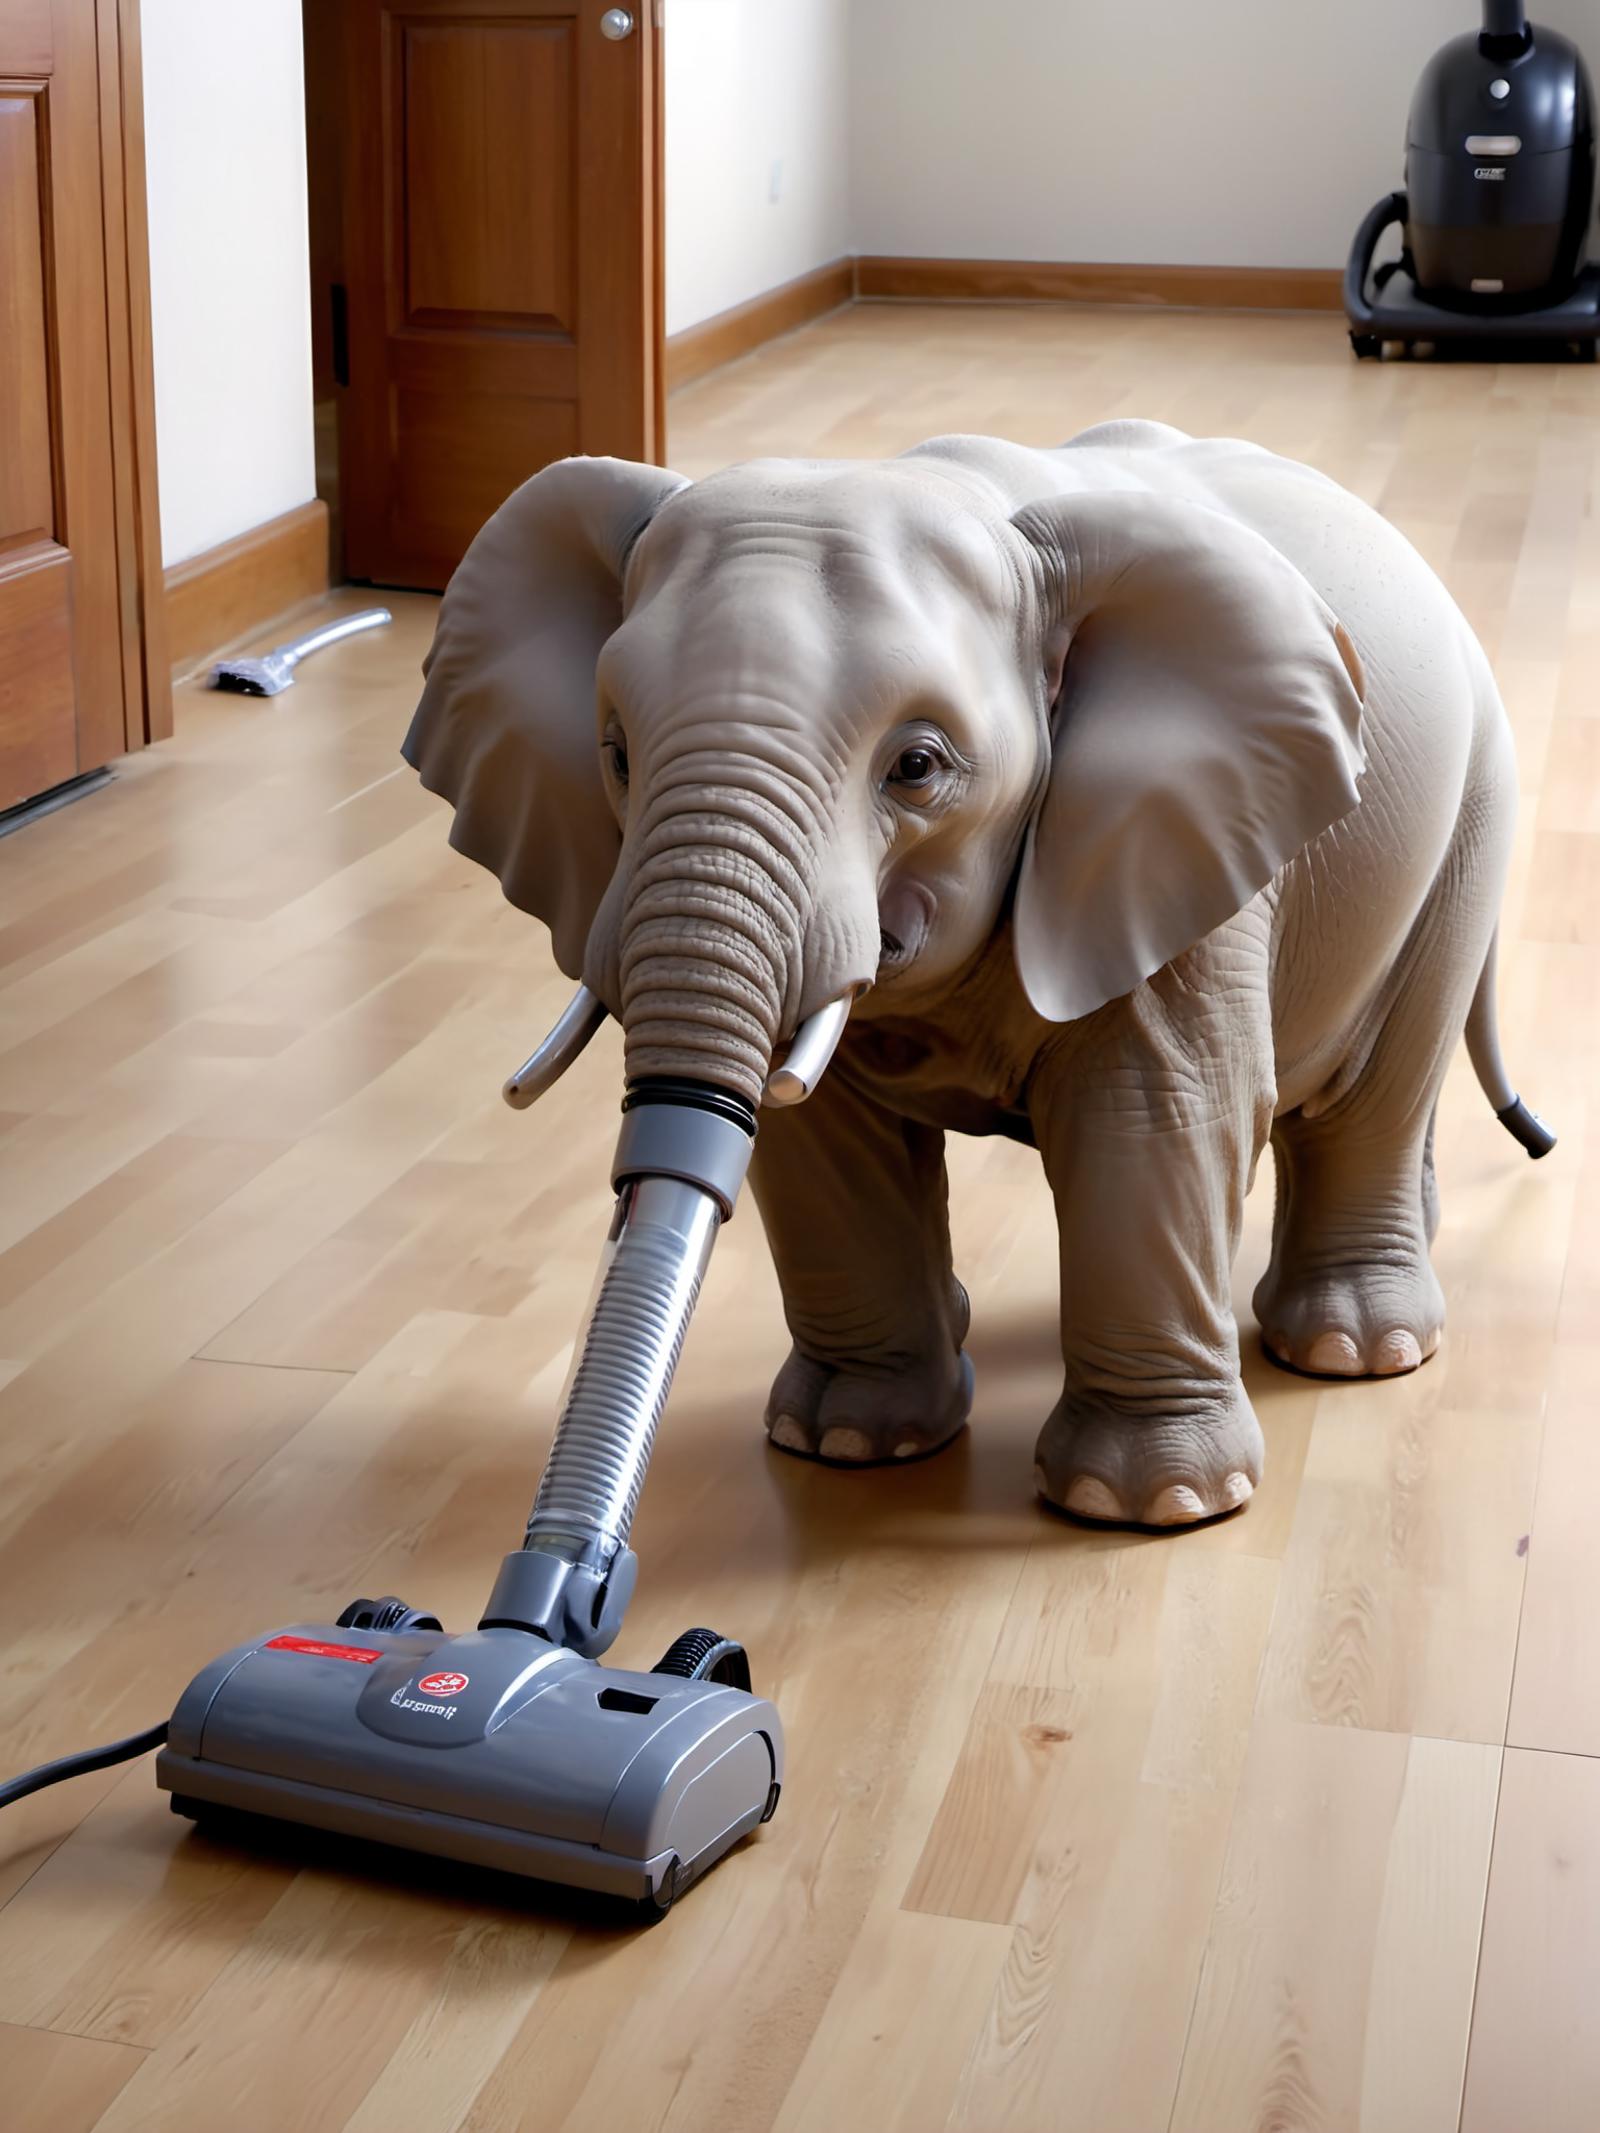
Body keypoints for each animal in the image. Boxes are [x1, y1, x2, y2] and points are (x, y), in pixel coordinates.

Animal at [403, 415, 1553, 1527]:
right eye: (616, 755)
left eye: (916, 768)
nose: (572, 1576)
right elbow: (820, 1140)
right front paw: (849, 1441)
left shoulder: (1172, 845)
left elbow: (1151, 1113)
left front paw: (1144, 1505)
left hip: (1468, 822)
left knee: (1377, 1089)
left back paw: (1353, 1350)